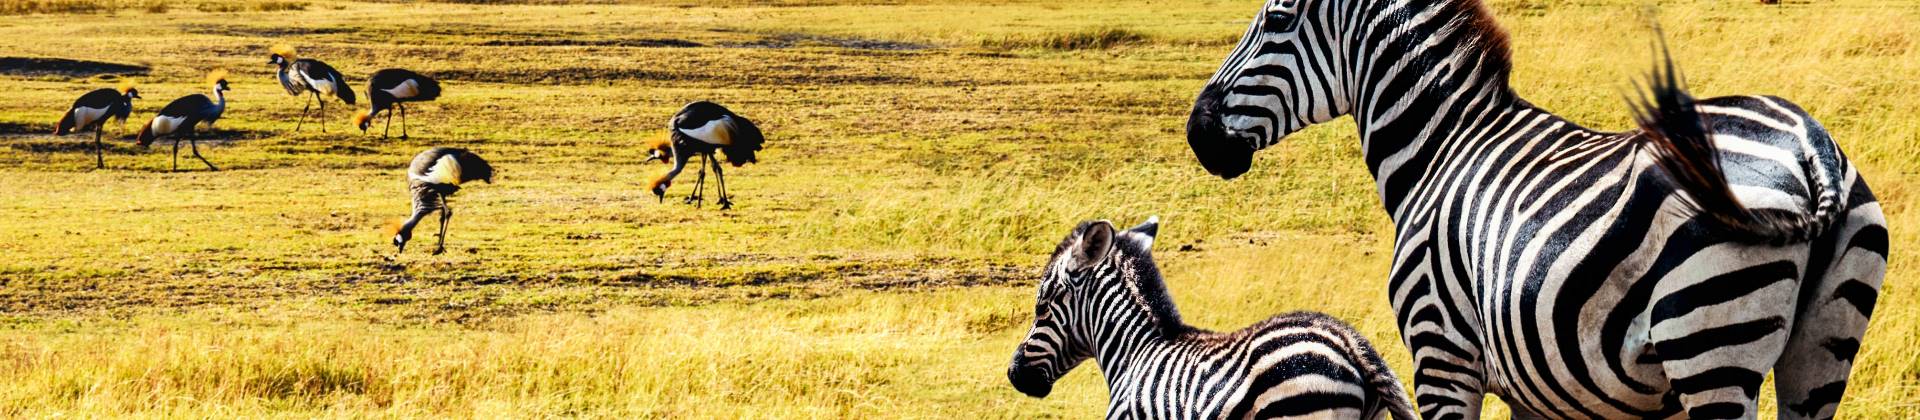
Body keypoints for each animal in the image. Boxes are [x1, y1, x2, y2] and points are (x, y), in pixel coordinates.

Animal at [1182, 0, 1889, 420]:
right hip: (1823, 351)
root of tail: (1809, 146)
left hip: (1710, 344)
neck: (1443, 146)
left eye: (1276, 19)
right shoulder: (1538, 385)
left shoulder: (1441, 353)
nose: (1197, 133)